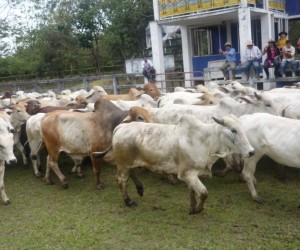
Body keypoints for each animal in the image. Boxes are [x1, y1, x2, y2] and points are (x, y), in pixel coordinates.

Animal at [95, 114, 254, 214]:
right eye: (233, 130)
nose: (251, 151)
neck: (205, 142)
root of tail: (121, 127)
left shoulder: (193, 175)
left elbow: (193, 192)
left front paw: (192, 206)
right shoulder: (186, 173)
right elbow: (203, 193)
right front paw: (197, 209)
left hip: (129, 162)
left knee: (131, 174)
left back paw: (140, 189)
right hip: (122, 164)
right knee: (121, 180)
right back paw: (128, 201)